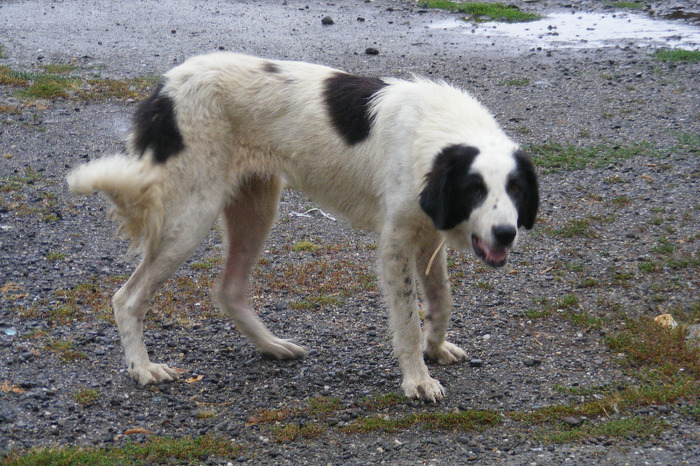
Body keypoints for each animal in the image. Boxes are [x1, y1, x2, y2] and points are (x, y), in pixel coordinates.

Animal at [68, 51, 540, 400]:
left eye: (515, 189)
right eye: (474, 189)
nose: (506, 233)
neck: (436, 133)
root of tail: (165, 88)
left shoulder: (426, 235)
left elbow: (441, 302)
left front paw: (436, 348)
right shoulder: (395, 244)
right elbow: (406, 319)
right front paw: (417, 379)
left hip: (256, 208)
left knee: (229, 290)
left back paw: (272, 346)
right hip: (189, 219)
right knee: (127, 299)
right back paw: (142, 367)